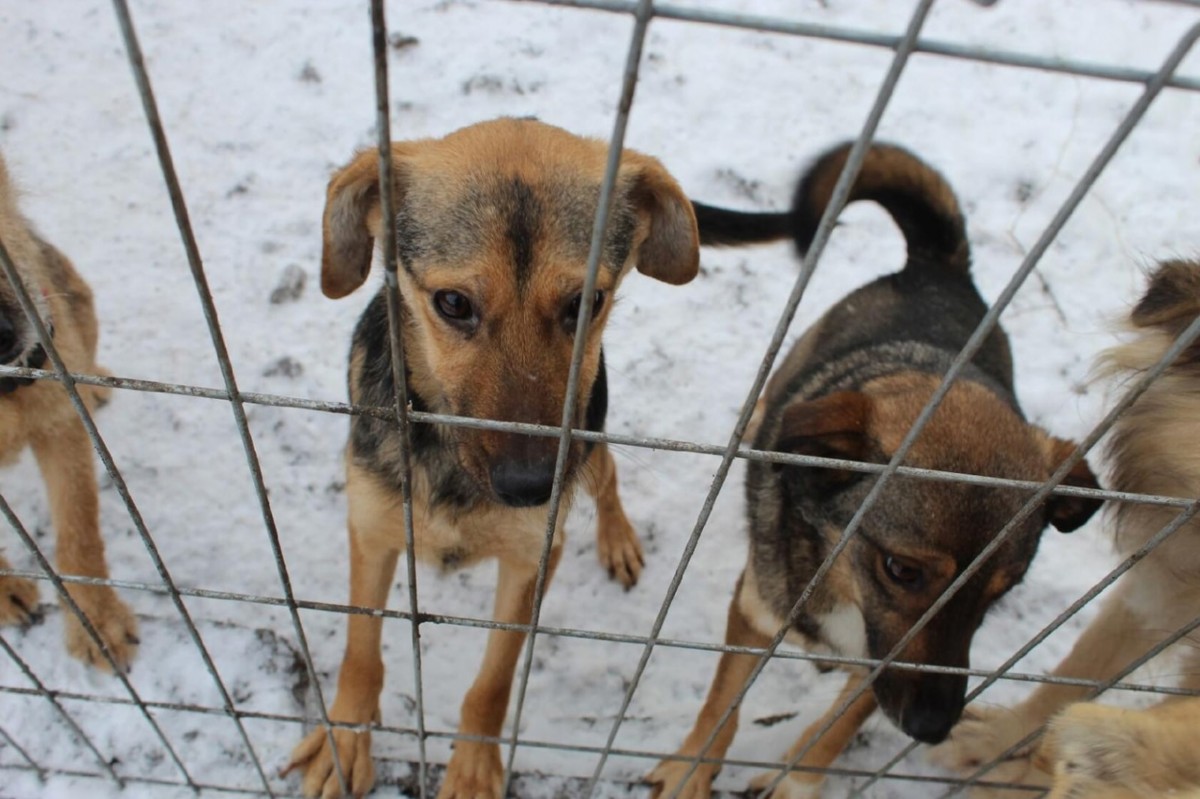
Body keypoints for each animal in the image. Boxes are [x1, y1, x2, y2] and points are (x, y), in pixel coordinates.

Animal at [284, 118, 700, 796]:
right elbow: (360, 649)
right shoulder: (371, 529)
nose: (529, 486)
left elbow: (493, 682)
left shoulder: (535, 555)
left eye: (586, 303)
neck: (454, 465)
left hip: (589, 446)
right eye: (453, 303)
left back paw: (616, 538)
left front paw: (475, 767)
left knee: (608, 477)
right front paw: (346, 741)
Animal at [643, 143, 1099, 796]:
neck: (843, 578)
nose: (933, 728)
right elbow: (720, 710)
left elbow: (835, 729)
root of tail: (938, 266)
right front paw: (691, 770)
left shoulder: (879, 668)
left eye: (1003, 590)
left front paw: (797, 783)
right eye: (902, 571)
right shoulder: (753, 613)